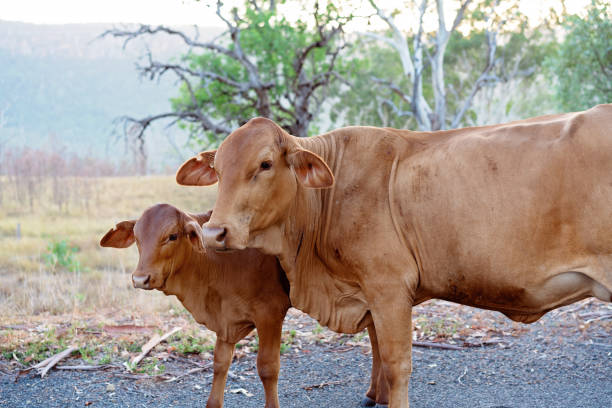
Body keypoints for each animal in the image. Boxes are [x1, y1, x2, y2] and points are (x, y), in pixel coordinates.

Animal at [100, 206, 388, 406]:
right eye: (137, 238)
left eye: (172, 236)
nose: (140, 278)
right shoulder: (225, 319)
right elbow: (220, 364)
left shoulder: (270, 314)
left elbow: (268, 368)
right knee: (376, 337)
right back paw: (375, 394)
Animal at [173, 103, 612, 406]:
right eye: (218, 169)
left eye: (265, 164)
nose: (215, 232)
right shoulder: (371, 291)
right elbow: (377, 348)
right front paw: (374, 395)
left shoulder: (388, 287)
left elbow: (397, 363)